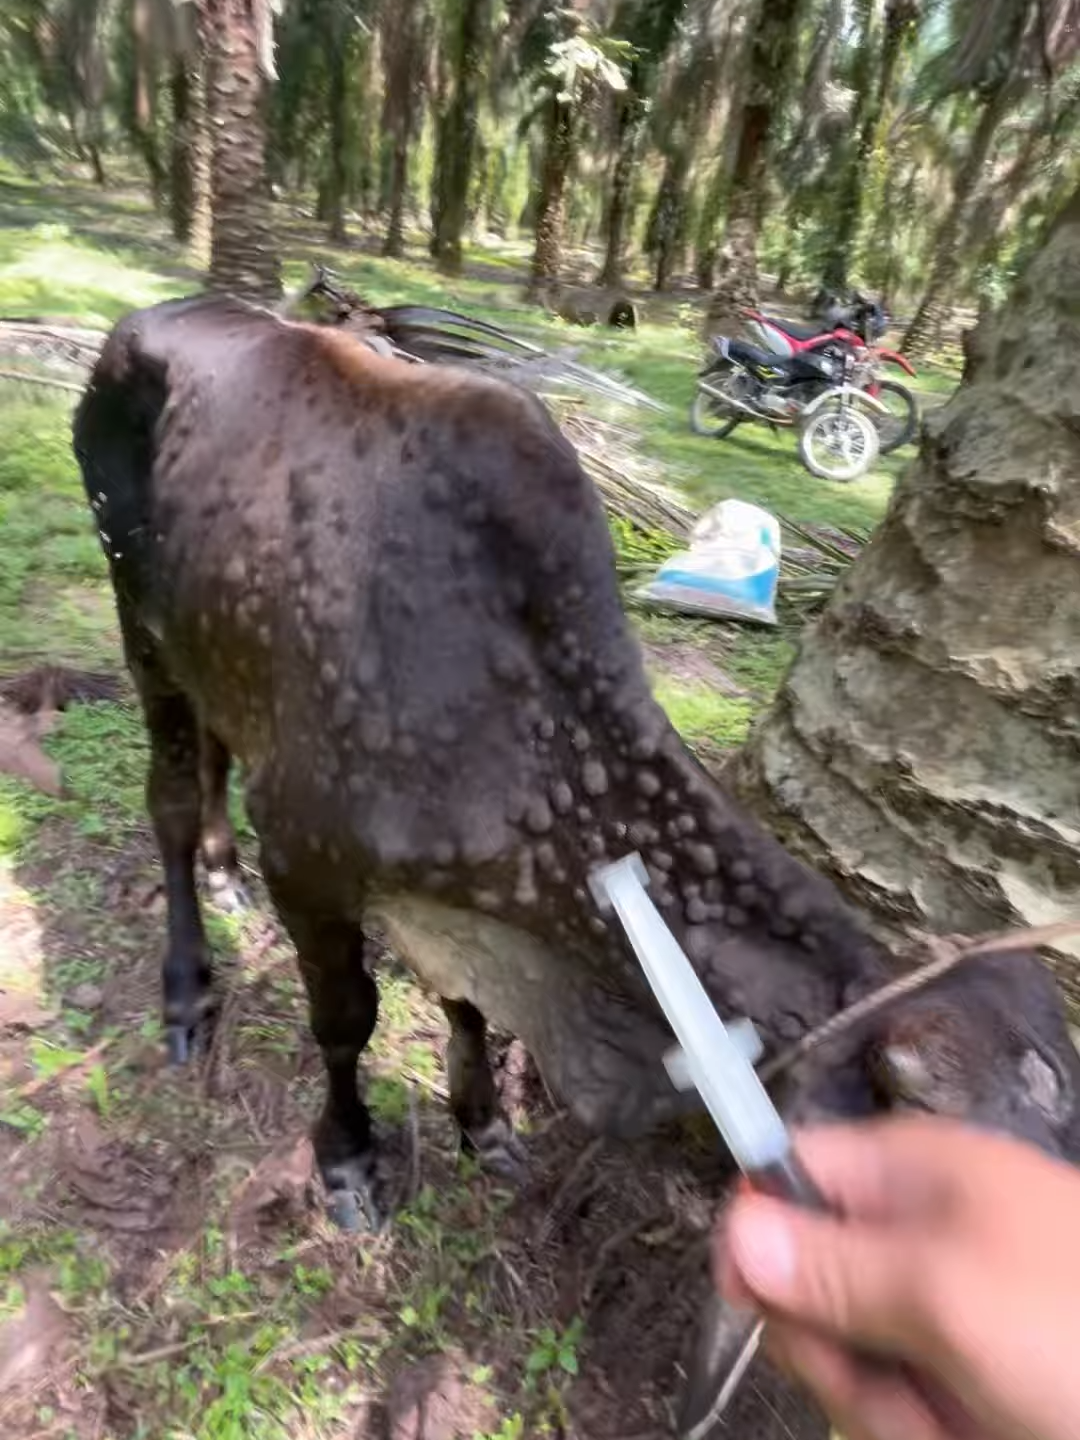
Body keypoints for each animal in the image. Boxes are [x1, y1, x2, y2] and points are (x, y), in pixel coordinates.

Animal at [73, 294, 1080, 1242]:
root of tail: (152, 317)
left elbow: (466, 1006)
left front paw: (483, 1122)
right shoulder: (304, 859)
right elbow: (346, 1019)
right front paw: (349, 1159)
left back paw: (222, 874)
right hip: (138, 619)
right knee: (169, 797)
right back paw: (187, 985)